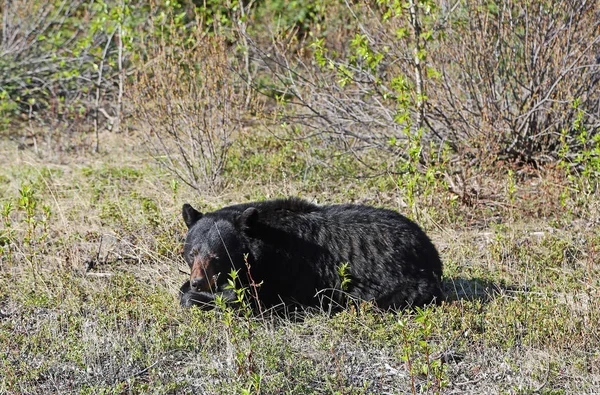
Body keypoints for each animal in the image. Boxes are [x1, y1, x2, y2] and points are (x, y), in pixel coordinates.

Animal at [178, 198, 440, 312]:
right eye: (192, 253)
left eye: (217, 256)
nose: (198, 281)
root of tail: (430, 248)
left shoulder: (282, 270)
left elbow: (252, 299)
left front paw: (196, 297)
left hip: (403, 283)